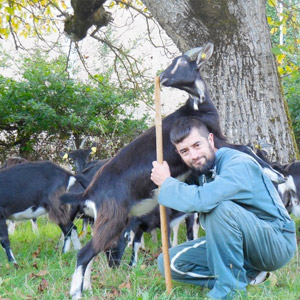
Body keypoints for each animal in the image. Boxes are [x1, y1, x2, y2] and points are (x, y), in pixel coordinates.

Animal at [62, 42, 284, 300]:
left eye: (181, 62)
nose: (164, 78)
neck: (196, 109)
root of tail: (89, 192)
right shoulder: (219, 141)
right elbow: (245, 148)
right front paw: (276, 175)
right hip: (112, 220)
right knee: (85, 254)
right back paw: (77, 293)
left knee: (94, 253)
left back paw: (87, 287)